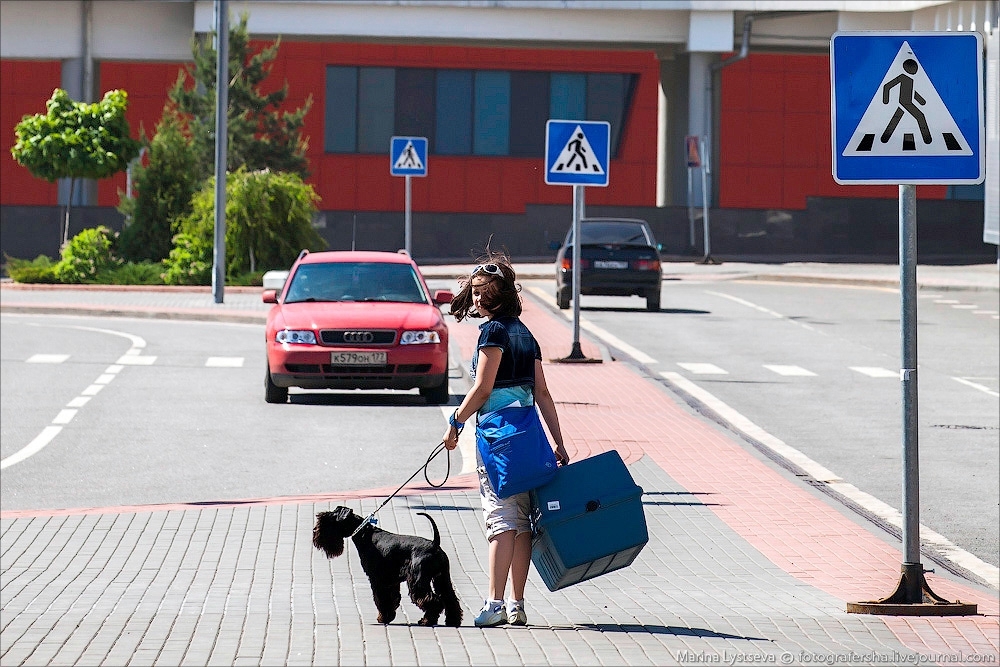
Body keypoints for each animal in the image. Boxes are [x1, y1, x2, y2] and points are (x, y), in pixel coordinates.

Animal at [312, 508, 464, 628]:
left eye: (327, 519)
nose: (315, 532)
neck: (364, 534)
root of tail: (435, 545)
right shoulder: (390, 581)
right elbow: (391, 598)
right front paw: (388, 616)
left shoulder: (377, 579)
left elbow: (381, 599)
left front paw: (383, 618)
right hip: (442, 578)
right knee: (449, 598)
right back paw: (453, 621)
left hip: (418, 581)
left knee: (432, 600)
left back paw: (427, 621)